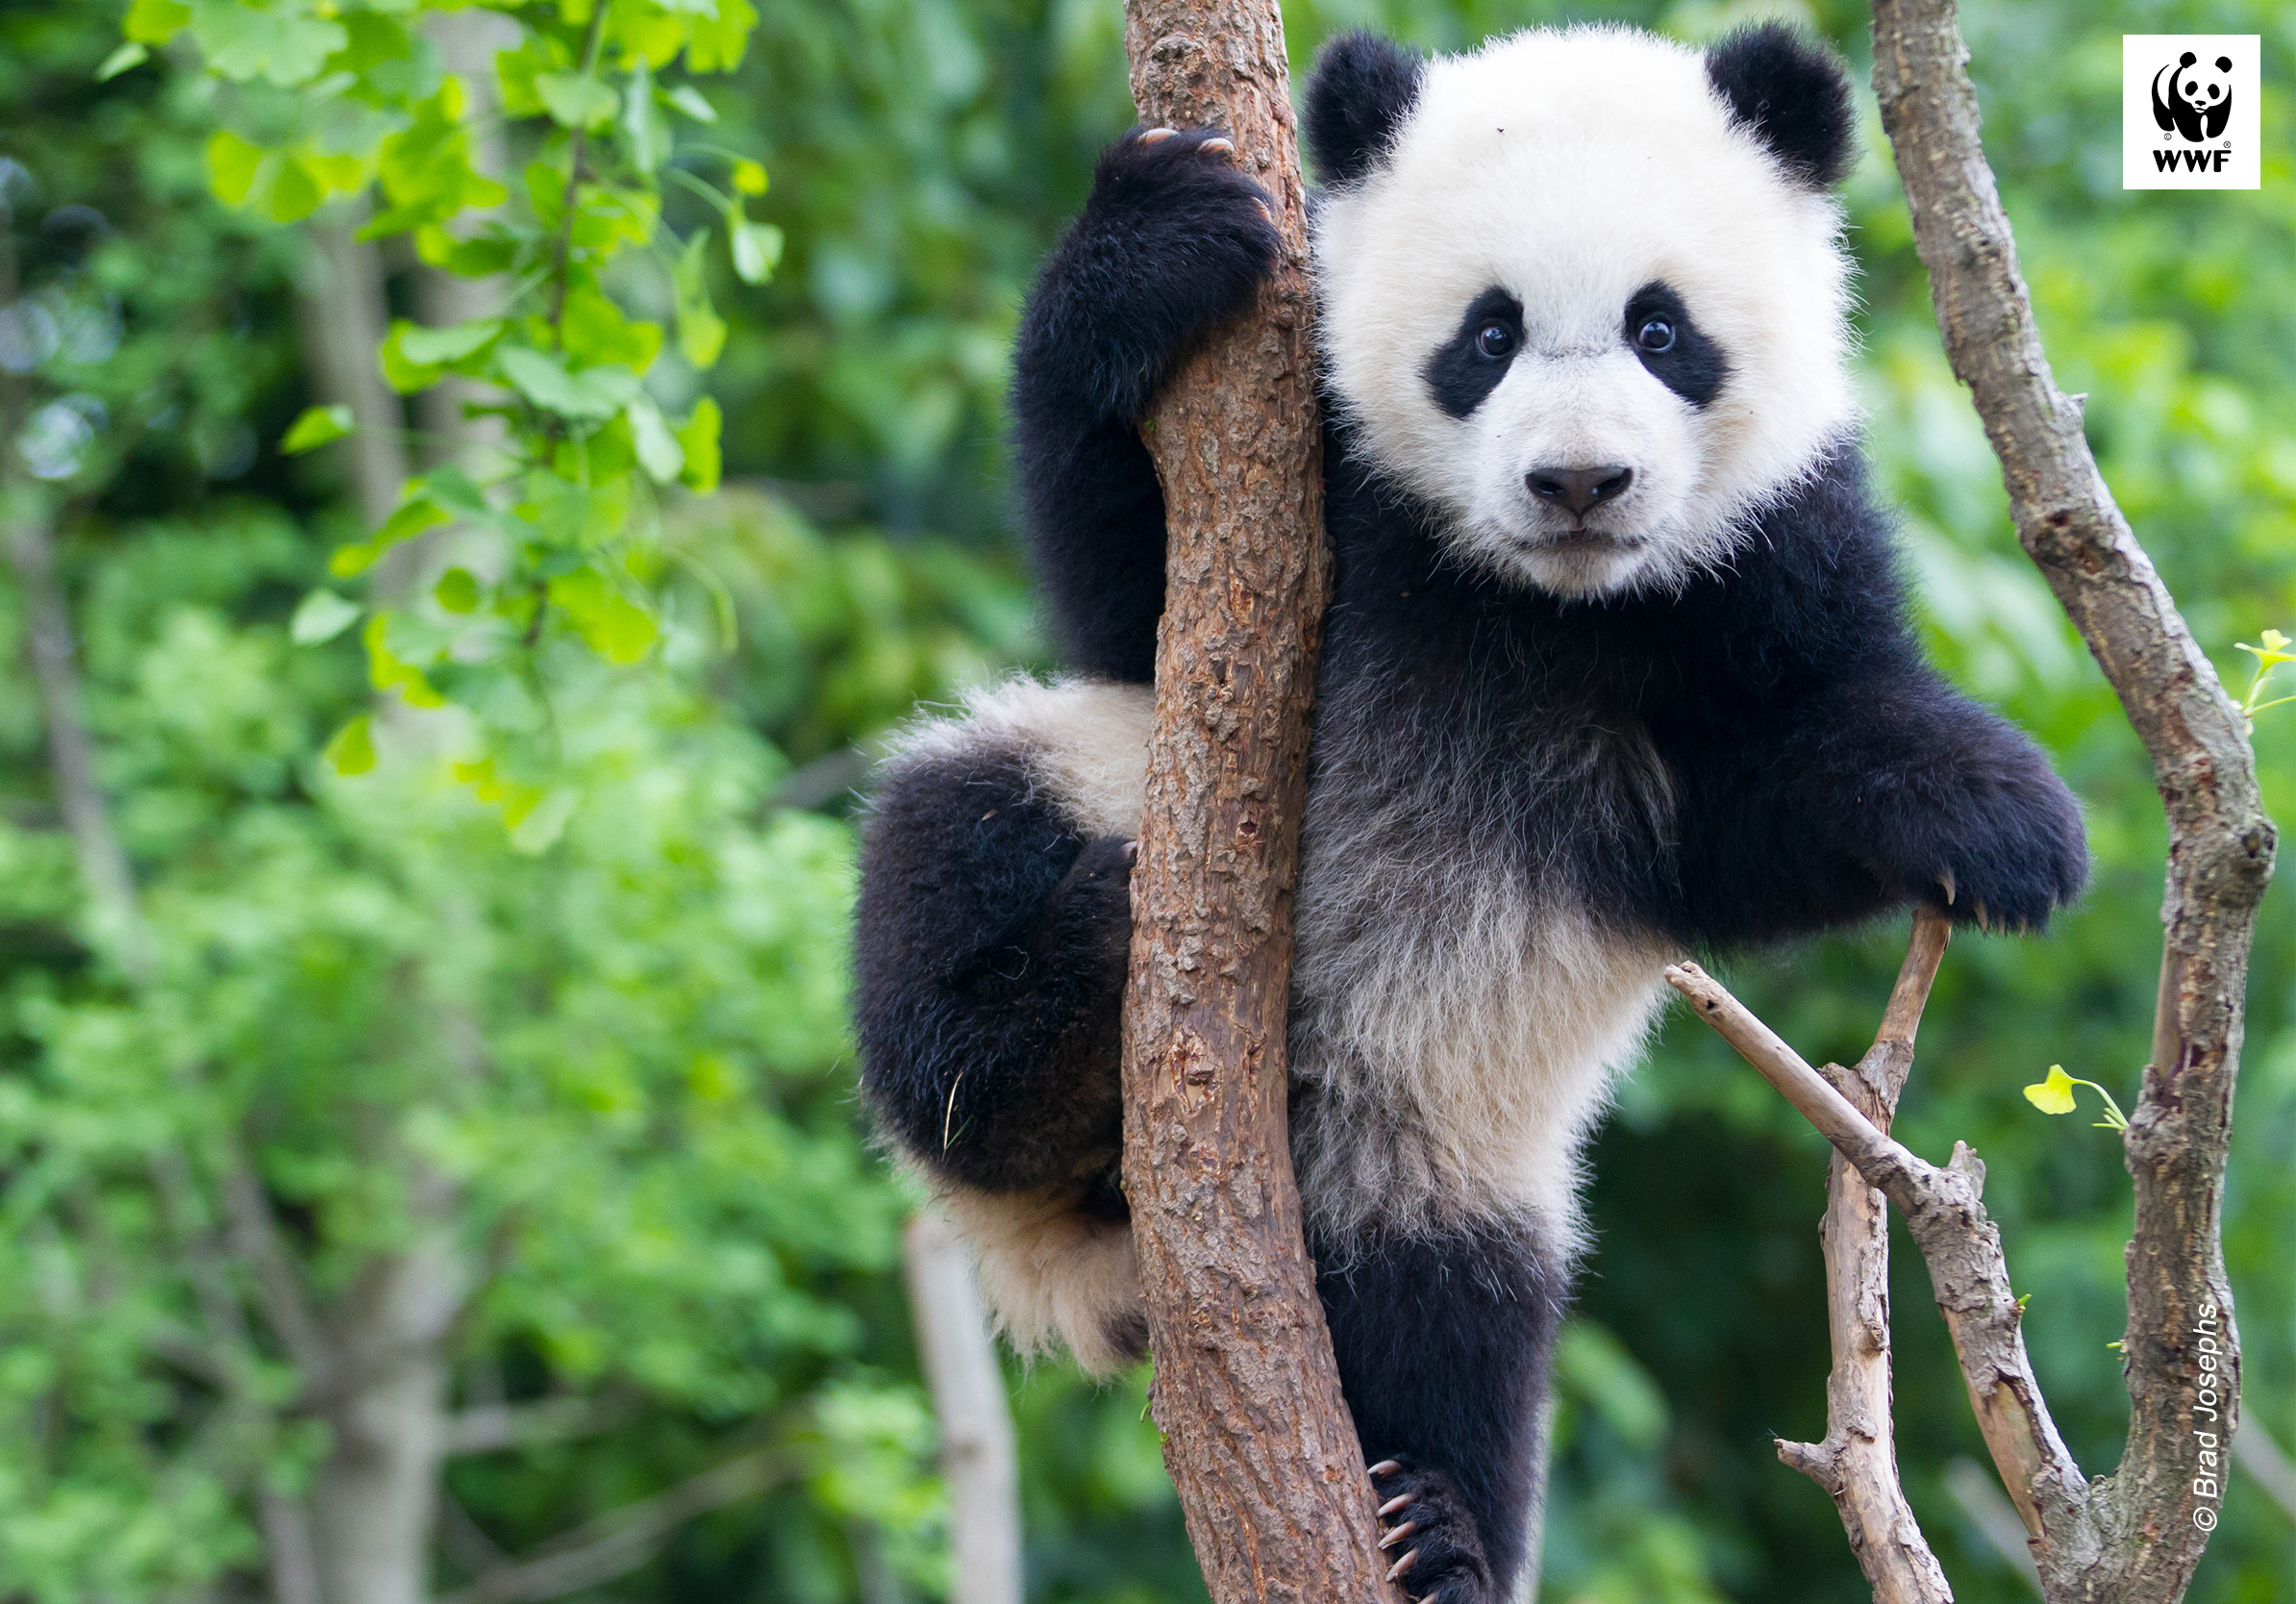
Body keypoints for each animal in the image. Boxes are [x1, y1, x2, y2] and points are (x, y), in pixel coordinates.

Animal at [854, 24, 2093, 1599]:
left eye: (1662, 331)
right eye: (1486, 336)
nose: (1578, 482)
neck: (1537, 604)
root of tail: (1096, 1238)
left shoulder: (1766, 559)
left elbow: (1759, 815)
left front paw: (2000, 822)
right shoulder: (1311, 492)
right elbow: (1121, 591)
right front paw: (1154, 239)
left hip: (1439, 1149)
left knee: (1457, 1322)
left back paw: (1434, 1525)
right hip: (1059, 789)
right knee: (946, 880)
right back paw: (1052, 1017)